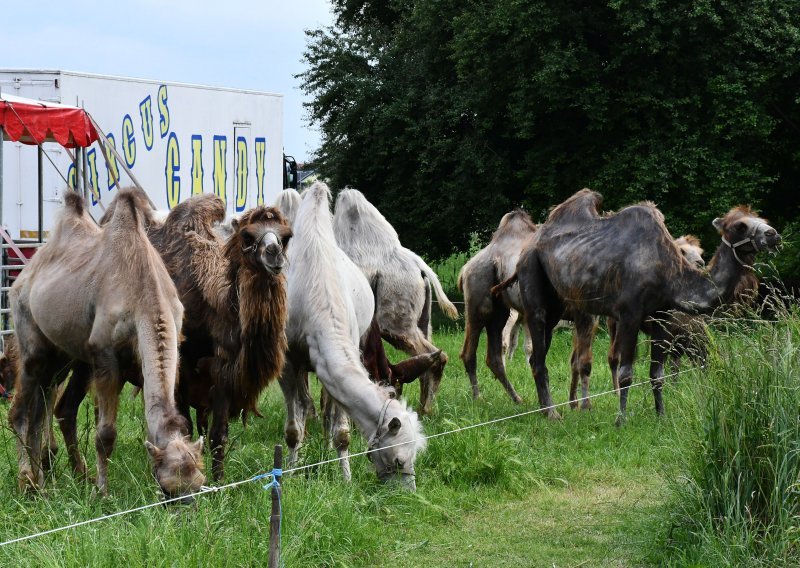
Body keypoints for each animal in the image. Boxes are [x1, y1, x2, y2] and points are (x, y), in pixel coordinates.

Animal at [10, 190, 203, 496]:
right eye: (169, 489)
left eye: (197, 485)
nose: (187, 505)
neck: (145, 297)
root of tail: (24, 275)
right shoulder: (106, 357)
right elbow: (106, 434)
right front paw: (102, 491)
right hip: (30, 336)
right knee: (21, 409)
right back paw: (27, 481)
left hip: (64, 356)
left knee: (45, 407)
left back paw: (52, 479)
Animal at [278, 182, 424, 488]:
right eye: (398, 460)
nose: (409, 491)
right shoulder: (287, 361)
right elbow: (293, 429)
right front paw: (289, 475)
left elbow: (341, 431)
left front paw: (345, 479)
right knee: (304, 405)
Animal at [332, 189, 456, 414]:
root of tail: (421, 267)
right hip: (422, 319)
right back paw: (424, 408)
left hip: (394, 320)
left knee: (433, 354)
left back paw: (426, 409)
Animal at [500, 189, 780, 424]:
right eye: (740, 225)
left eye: (761, 218)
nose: (773, 235)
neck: (668, 273)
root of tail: (531, 244)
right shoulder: (629, 314)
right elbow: (626, 372)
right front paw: (621, 420)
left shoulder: (662, 317)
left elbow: (657, 373)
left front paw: (661, 415)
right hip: (532, 278)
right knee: (538, 355)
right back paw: (552, 413)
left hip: (557, 305)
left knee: (538, 355)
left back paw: (546, 408)